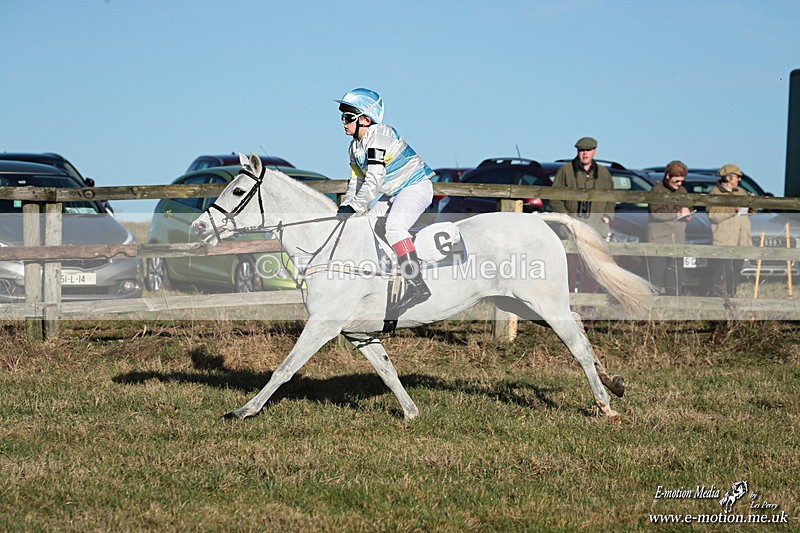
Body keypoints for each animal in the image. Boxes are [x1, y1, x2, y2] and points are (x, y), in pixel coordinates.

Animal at [191, 153, 654, 423]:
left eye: (237, 189)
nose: (198, 228)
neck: (328, 245)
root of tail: (540, 220)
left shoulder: (323, 324)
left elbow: (284, 368)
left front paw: (244, 410)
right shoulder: (357, 331)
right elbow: (386, 370)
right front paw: (412, 413)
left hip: (542, 301)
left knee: (576, 343)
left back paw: (605, 404)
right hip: (519, 303)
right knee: (579, 331)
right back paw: (614, 383)